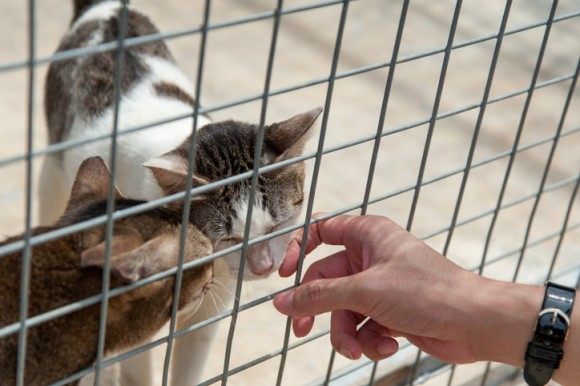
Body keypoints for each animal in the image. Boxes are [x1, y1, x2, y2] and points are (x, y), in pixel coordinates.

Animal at [40, 0, 322, 382]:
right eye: (229, 238)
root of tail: (108, 10)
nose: (263, 267)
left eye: (277, 225)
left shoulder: (210, 308)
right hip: (53, 169)